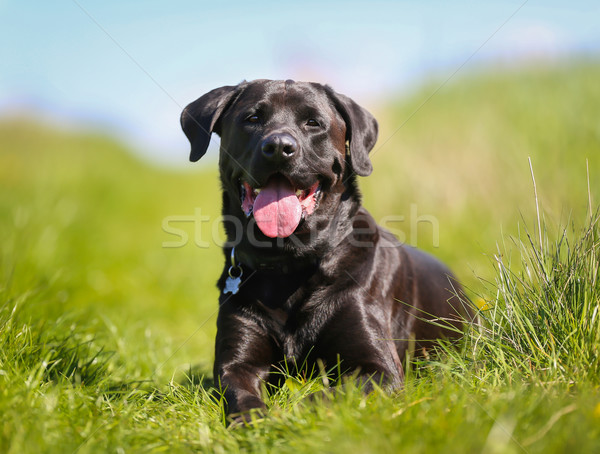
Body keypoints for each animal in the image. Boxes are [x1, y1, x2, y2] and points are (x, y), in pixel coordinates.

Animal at [180, 79, 466, 422]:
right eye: (252, 118)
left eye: (313, 122)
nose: (279, 147)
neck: (288, 265)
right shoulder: (237, 362)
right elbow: (241, 393)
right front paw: (254, 420)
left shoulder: (378, 367)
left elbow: (324, 397)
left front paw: (290, 416)